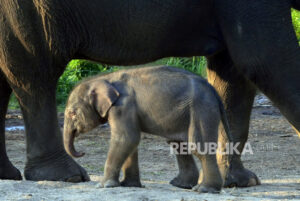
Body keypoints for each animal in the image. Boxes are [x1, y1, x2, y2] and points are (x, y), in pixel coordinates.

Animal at [63, 65, 232, 193]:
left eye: (72, 114)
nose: (82, 152)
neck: (105, 79)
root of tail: (214, 91)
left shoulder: (123, 106)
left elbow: (126, 138)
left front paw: (104, 185)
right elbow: (131, 143)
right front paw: (128, 185)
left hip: (202, 109)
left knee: (197, 145)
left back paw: (204, 189)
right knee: (177, 143)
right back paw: (182, 185)